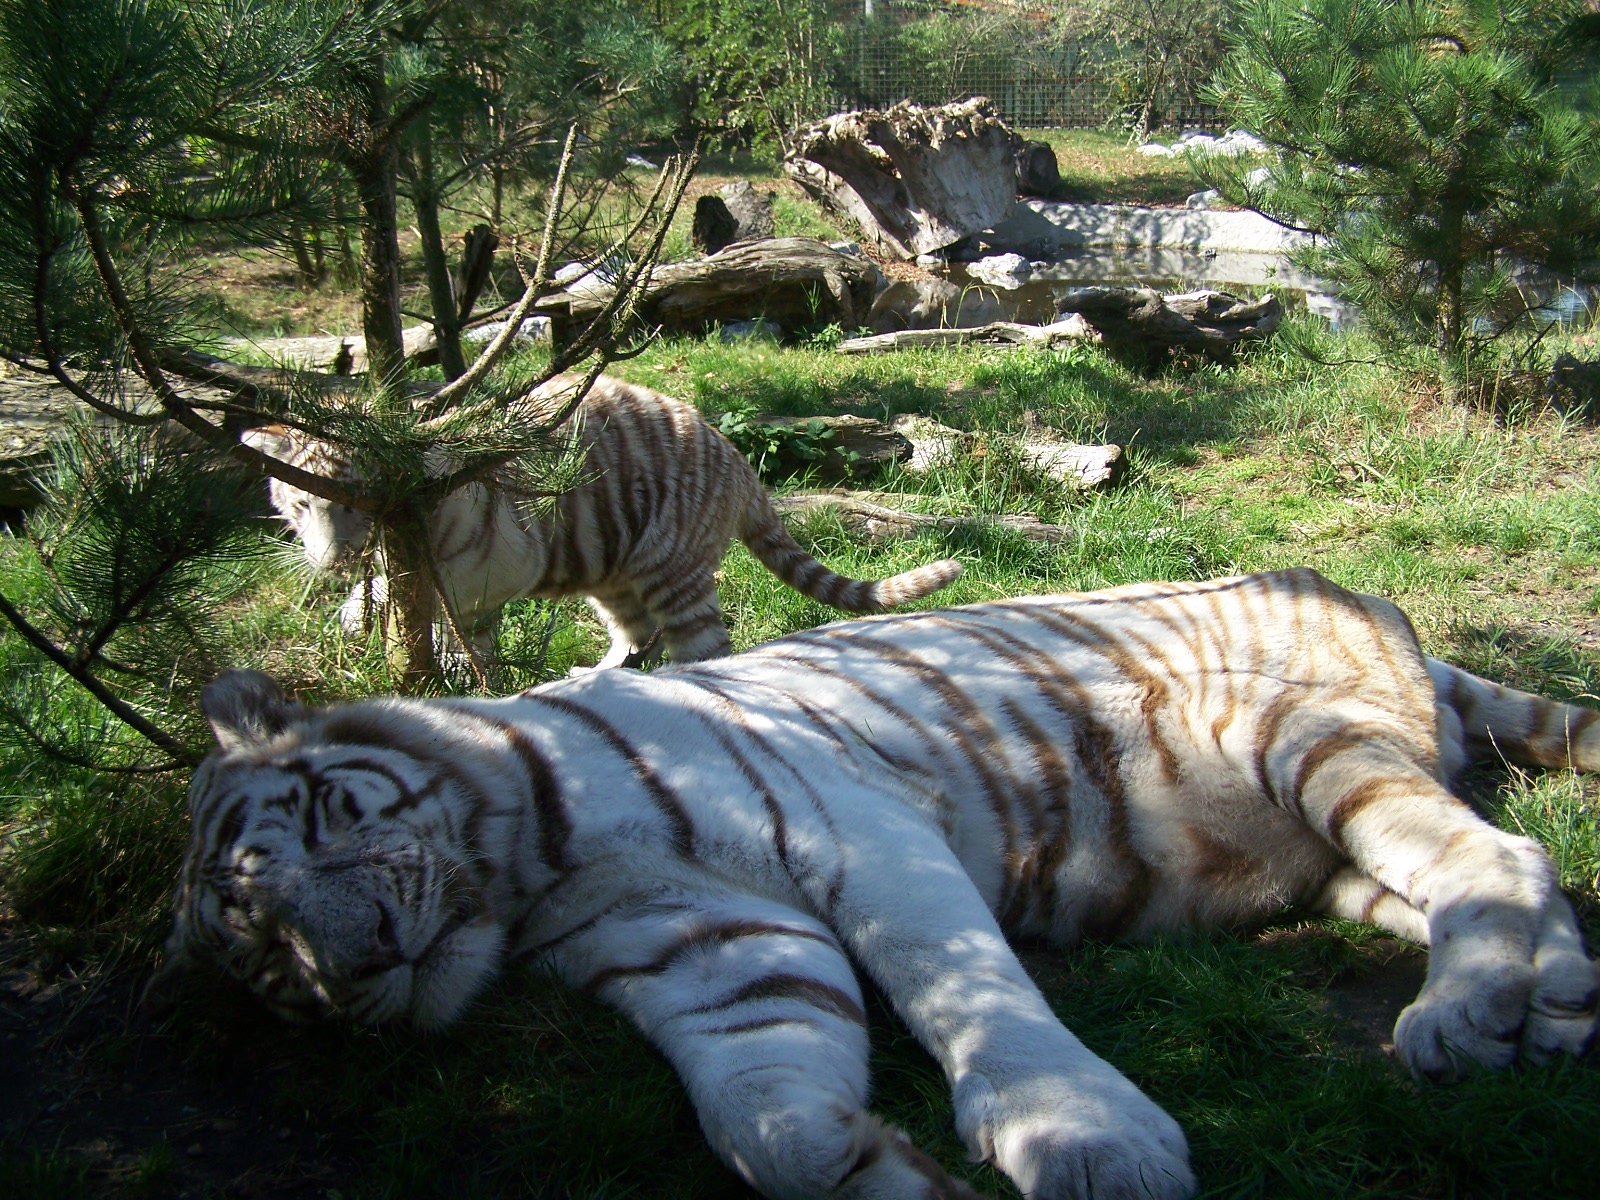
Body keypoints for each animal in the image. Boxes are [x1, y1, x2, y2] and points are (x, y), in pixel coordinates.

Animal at [160, 568, 1600, 1200]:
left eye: (318, 823)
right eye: (266, 963)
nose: (358, 966)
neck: (533, 867)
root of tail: (1379, 600)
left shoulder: (856, 831)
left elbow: (972, 1000)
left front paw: (1091, 1142)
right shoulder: (704, 945)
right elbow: (767, 1112)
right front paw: (876, 1165)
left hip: (1293, 741)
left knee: (1495, 853)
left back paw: (1470, 1020)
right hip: (1339, 868)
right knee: (1498, 873)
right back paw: (1536, 1008)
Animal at [245, 373, 963, 667]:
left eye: (355, 503)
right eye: (304, 504)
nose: (331, 558)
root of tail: (736, 457)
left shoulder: (497, 563)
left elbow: (443, 609)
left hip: (670, 563)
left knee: (704, 644)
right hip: (611, 568)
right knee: (636, 631)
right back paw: (596, 676)